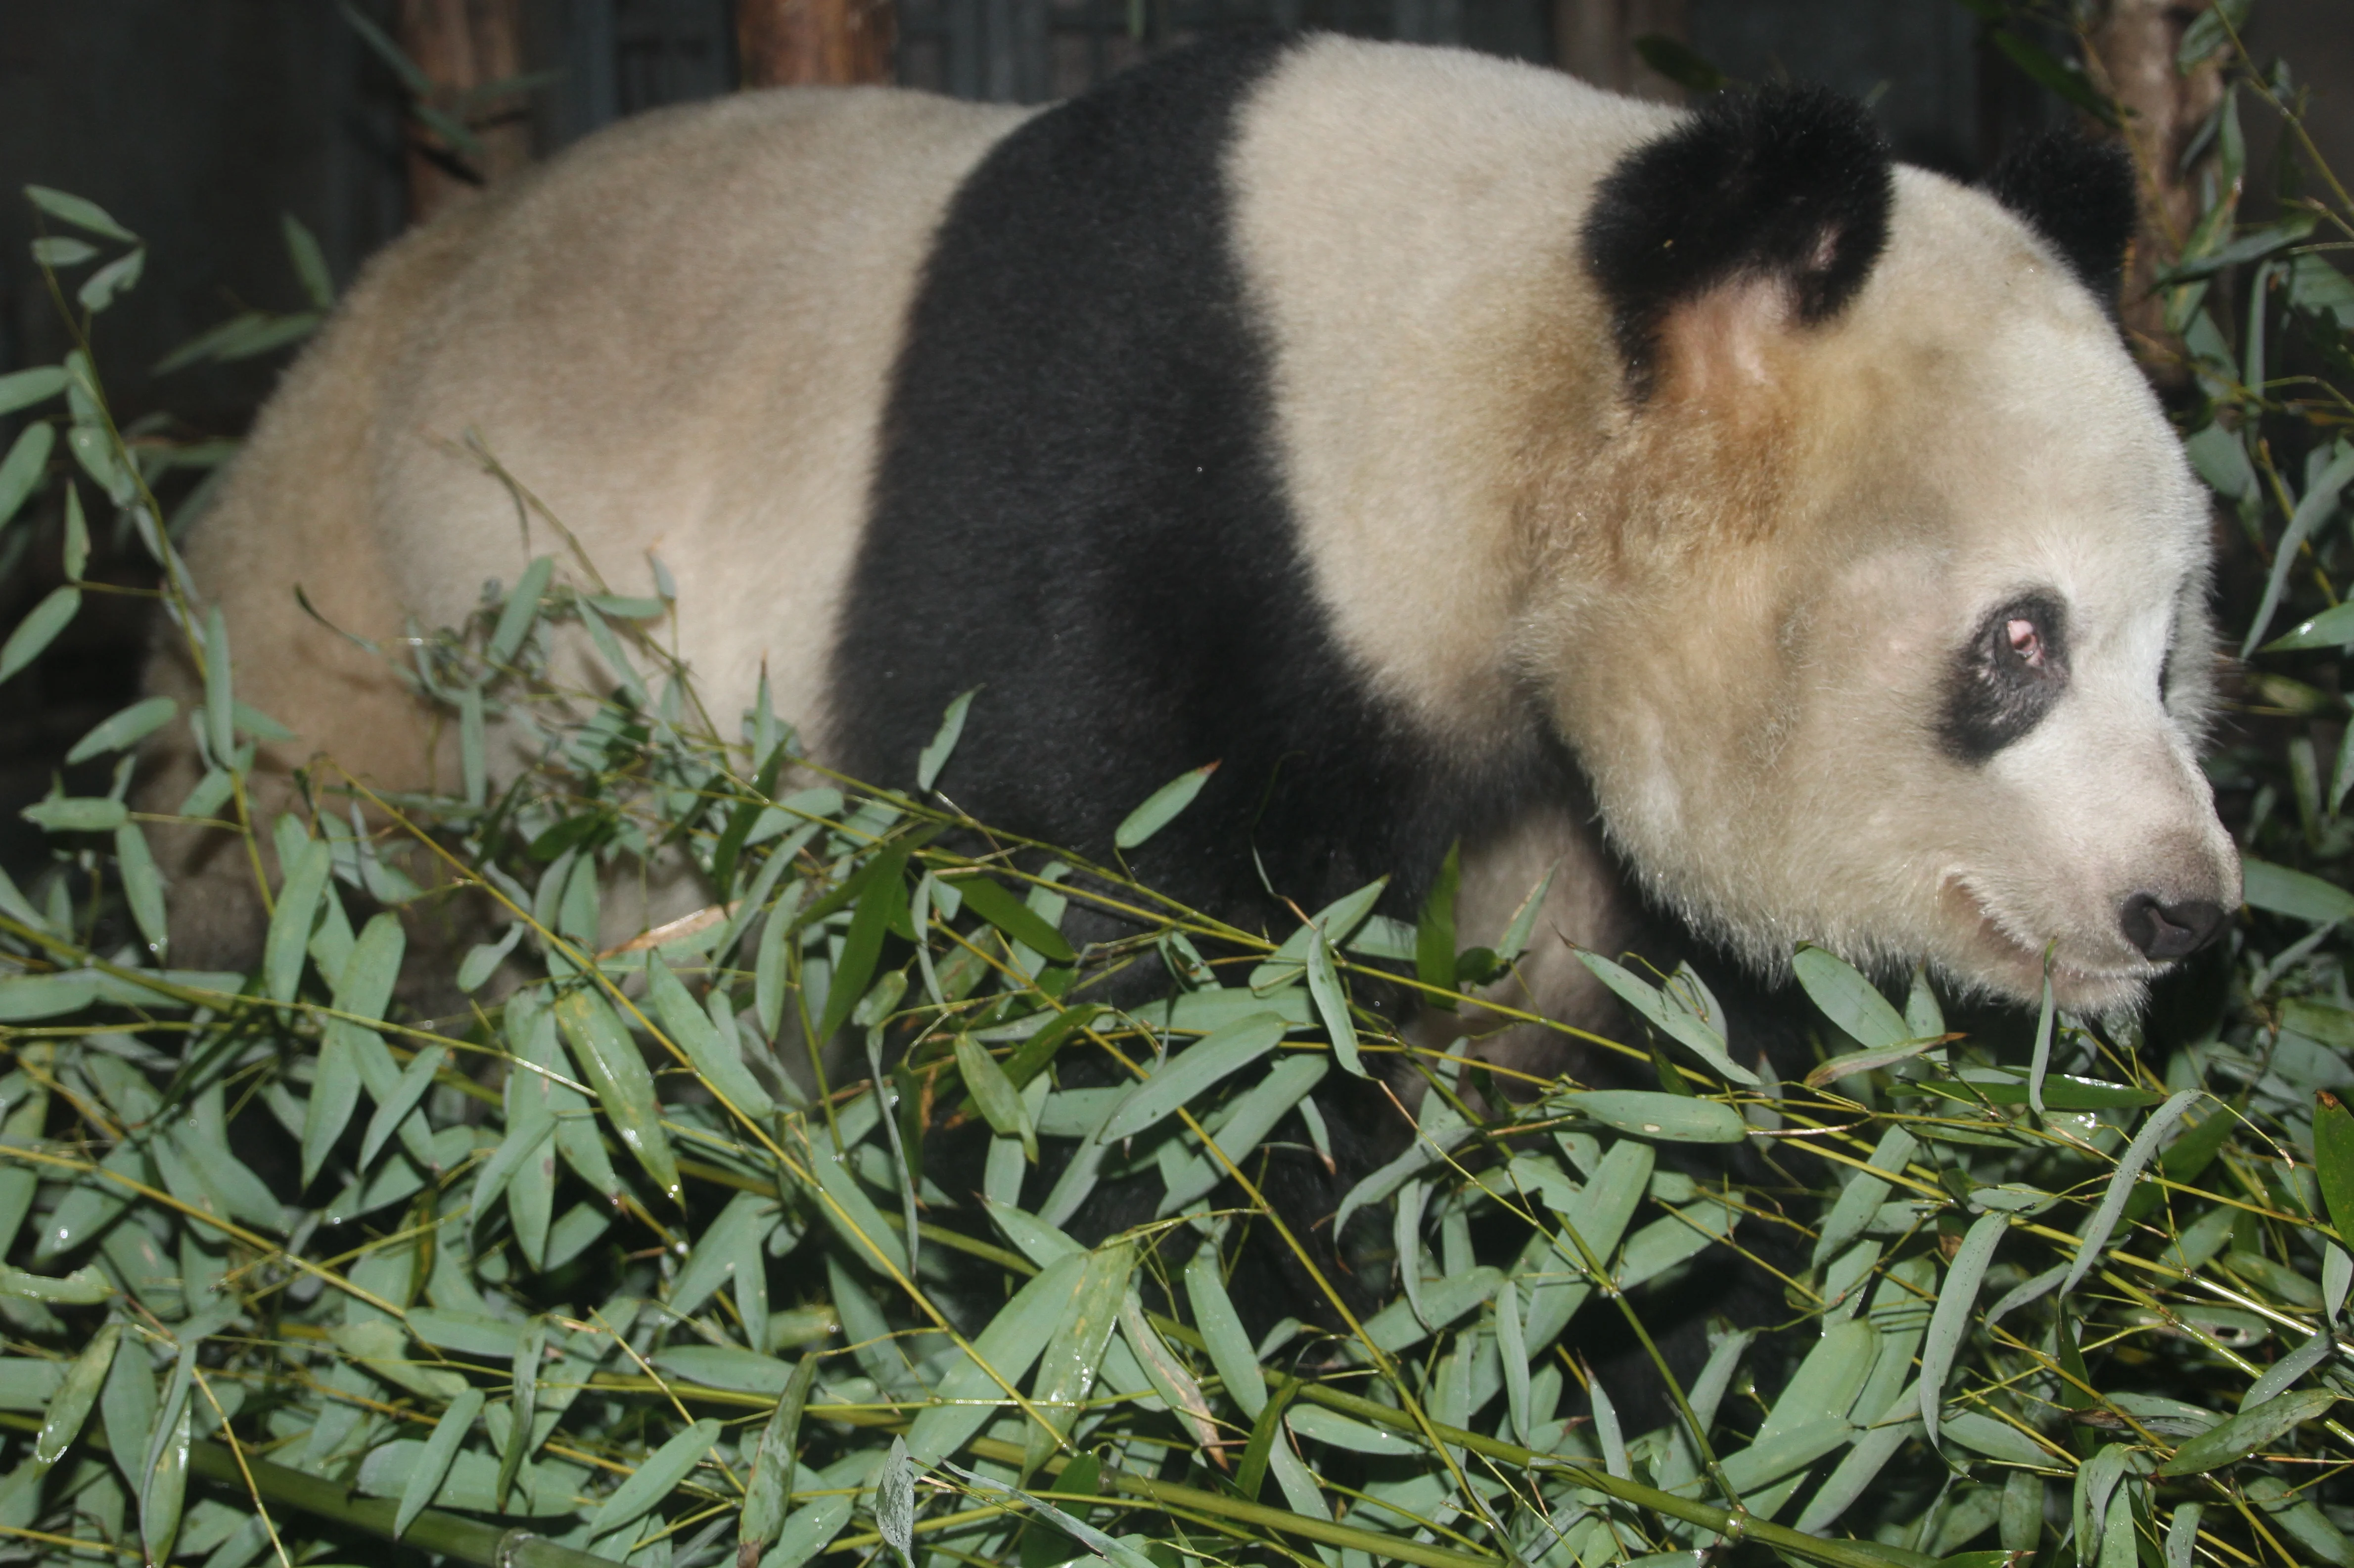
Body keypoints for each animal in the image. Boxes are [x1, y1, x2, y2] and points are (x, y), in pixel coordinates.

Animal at [146, 31, 2239, 1343]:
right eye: (2015, 646)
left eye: (2168, 652)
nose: (2174, 909)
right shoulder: (1135, 519)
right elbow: (1090, 1043)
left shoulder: (1531, 769)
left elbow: (1610, 1116)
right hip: (406, 697)